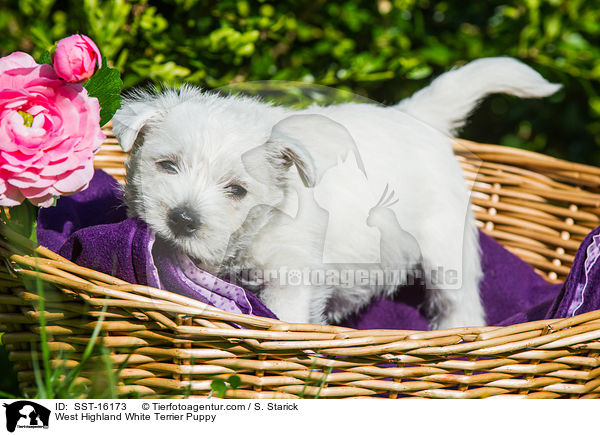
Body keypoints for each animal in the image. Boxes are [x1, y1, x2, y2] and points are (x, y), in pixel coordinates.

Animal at [115, 58, 560, 330]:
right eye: (168, 165)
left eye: (237, 190)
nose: (183, 219)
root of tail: (413, 116)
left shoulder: (291, 276)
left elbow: (282, 316)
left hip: (445, 247)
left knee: (460, 302)